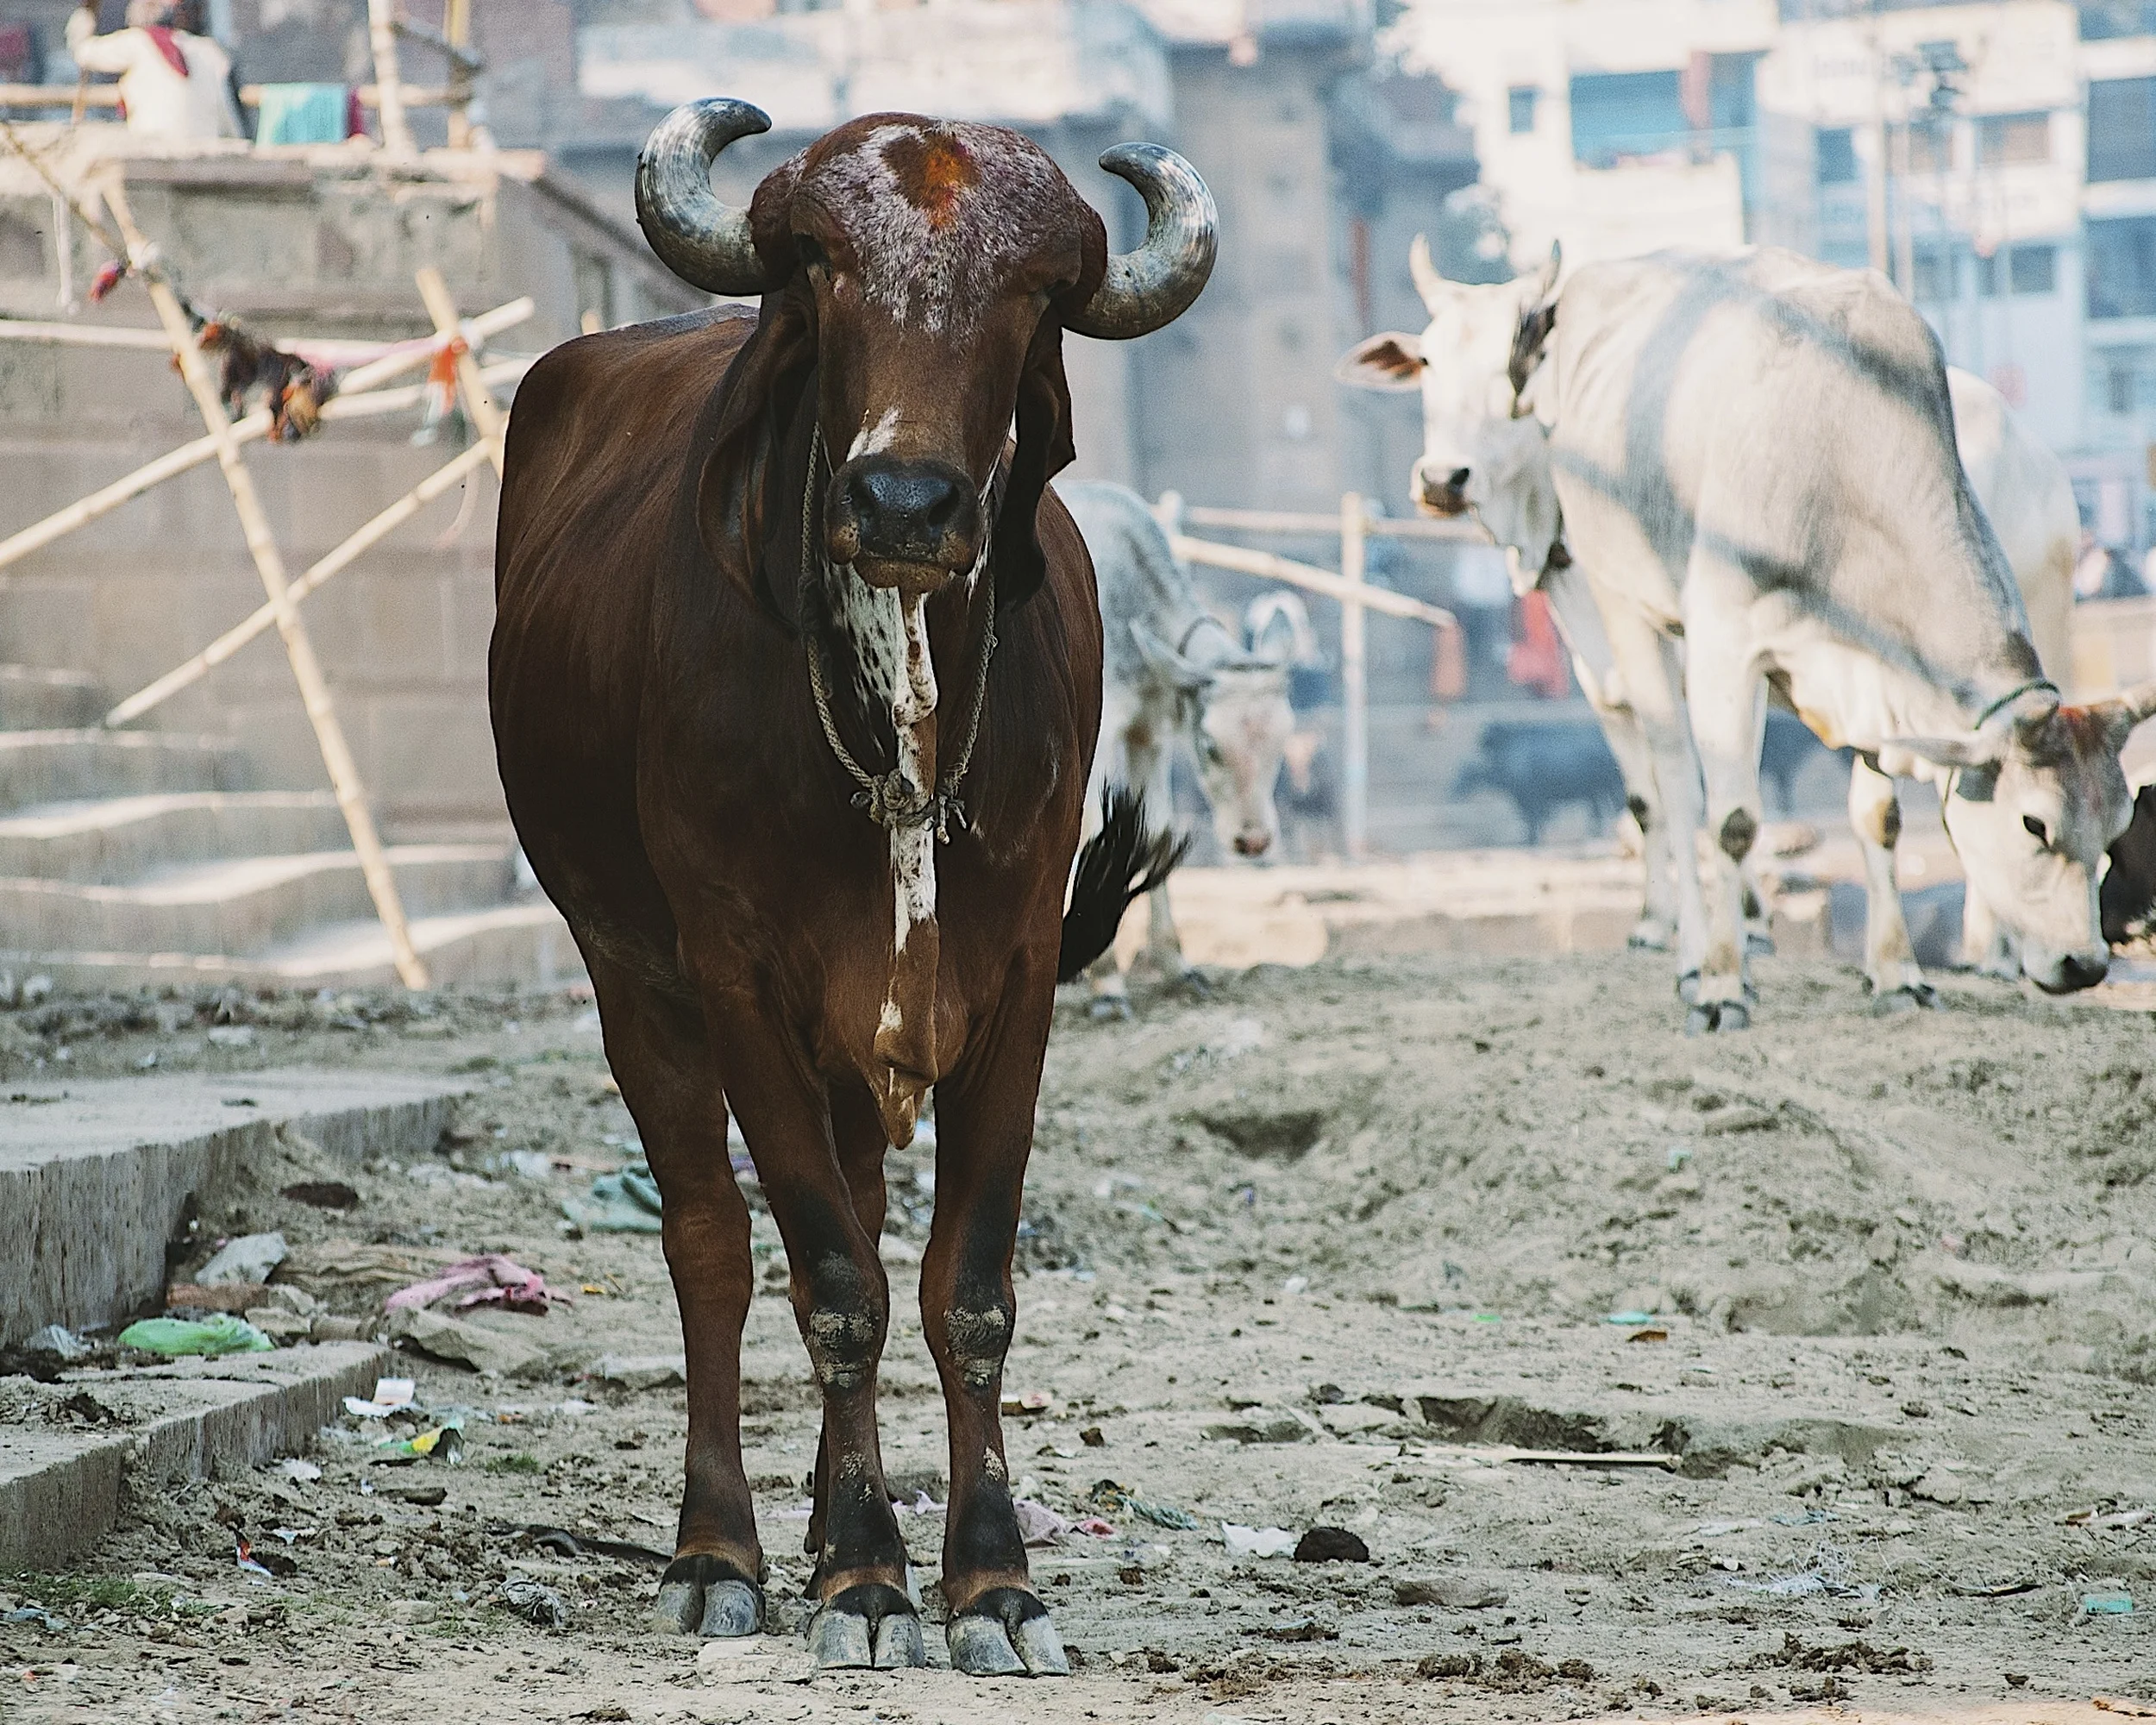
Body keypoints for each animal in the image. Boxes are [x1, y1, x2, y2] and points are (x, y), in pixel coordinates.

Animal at [490, 99, 1214, 1675]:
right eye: (819, 267)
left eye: (1035, 292)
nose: (900, 499)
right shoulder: (736, 982)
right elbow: (828, 1286)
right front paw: (871, 1581)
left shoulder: (1015, 988)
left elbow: (966, 1291)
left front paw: (990, 1583)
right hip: (631, 979)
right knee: (713, 1245)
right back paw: (726, 1551)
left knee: (872, 1221)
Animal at [1059, 481, 1293, 1009]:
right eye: (1210, 747)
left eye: (1282, 744)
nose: (1252, 841)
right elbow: (1094, 827)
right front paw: (1107, 980)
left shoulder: (1150, 732)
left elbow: (1154, 828)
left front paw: (1176, 965)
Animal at [1339, 242, 2156, 1029]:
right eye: (2033, 823)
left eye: (2118, 826)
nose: (2084, 965)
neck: (1839, 454)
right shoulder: (1717, 648)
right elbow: (1724, 817)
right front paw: (1720, 980)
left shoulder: (1874, 680)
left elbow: (1879, 816)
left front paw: (1895, 972)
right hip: (1632, 608)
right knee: (1675, 782)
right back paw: (1700, 954)